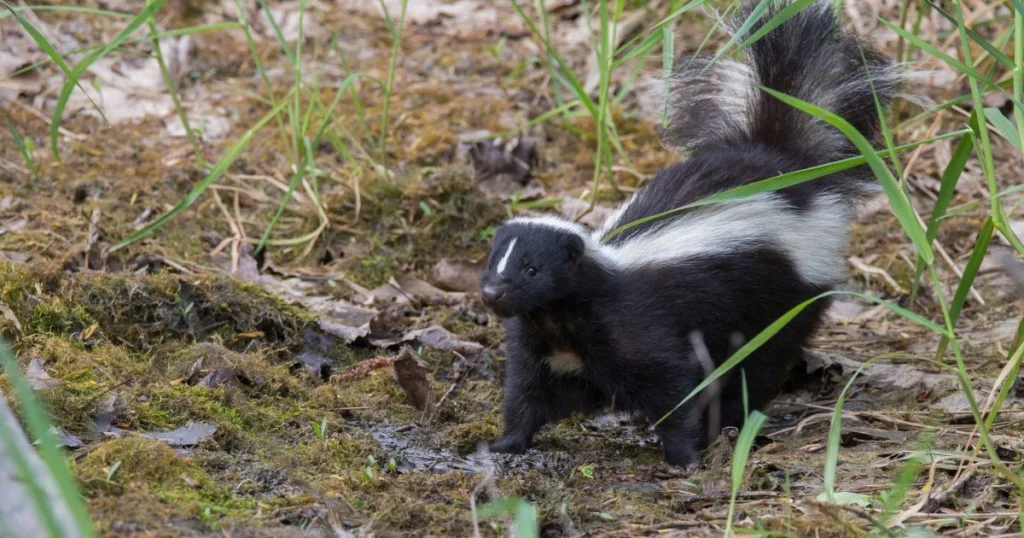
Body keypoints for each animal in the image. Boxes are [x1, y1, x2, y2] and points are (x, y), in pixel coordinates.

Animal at [475, 0, 892, 465]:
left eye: (533, 270)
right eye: (493, 264)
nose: (492, 294)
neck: (558, 320)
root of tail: (779, 161)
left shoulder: (636, 326)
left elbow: (671, 383)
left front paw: (683, 456)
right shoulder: (542, 349)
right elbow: (529, 395)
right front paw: (505, 444)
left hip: (783, 295)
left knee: (761, 361)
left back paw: (734, 419)